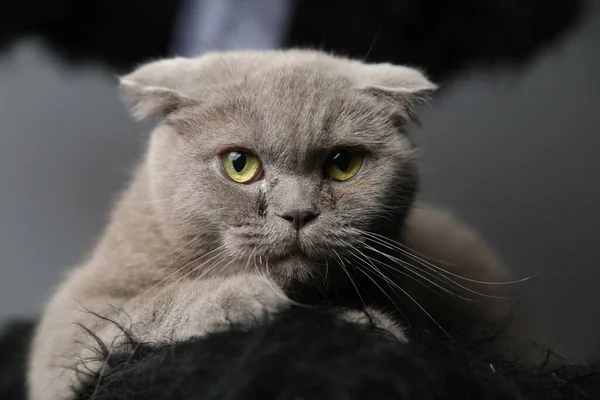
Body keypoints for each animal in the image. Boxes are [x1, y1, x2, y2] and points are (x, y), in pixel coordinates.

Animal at [27, 50, 516, 400]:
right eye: (239, 164)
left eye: (343, 164)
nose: (297, 213)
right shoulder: (70, 322)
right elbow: (145, 306)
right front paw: (245, 297)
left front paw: (363, 322)